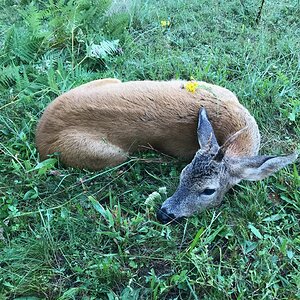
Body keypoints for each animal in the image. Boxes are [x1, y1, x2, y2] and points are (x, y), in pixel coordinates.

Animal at [35, 78, 298, 223]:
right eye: (182, 175)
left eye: (209, 190)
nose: (164, 214)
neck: (239, 128)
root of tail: (40, 136)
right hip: (111, 155)